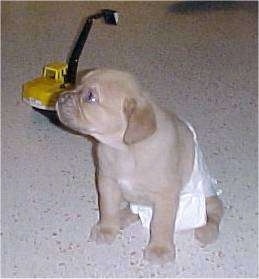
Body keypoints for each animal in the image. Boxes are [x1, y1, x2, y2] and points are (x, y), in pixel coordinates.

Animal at [56, 69, 223, 264]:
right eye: (78, 84)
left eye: (90, 96)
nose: (59, 97)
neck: (124, 150)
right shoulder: (108, 182)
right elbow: (107, 208)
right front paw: (107, 228)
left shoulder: (165, 196)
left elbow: (161, 224)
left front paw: (160, 249)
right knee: (133, 210)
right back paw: (122, 216)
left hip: (207, 196)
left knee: (216, 211)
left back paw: (208, 230)